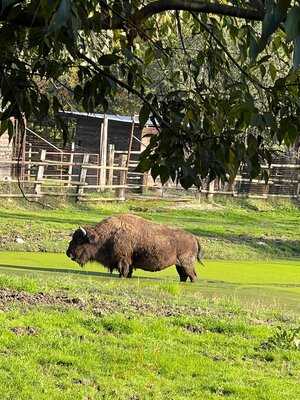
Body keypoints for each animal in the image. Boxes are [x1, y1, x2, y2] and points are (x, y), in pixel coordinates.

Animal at [66, 212, 203, 282]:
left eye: (79, 240)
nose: (68, 253)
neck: (106, 235)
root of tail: (194, 238)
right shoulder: (128, 261)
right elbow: (129, 270)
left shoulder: (123, 260)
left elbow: (123, 269)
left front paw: (122, 277)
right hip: (179, 265)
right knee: (184, 275)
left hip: (186, 264)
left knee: (192, 275)